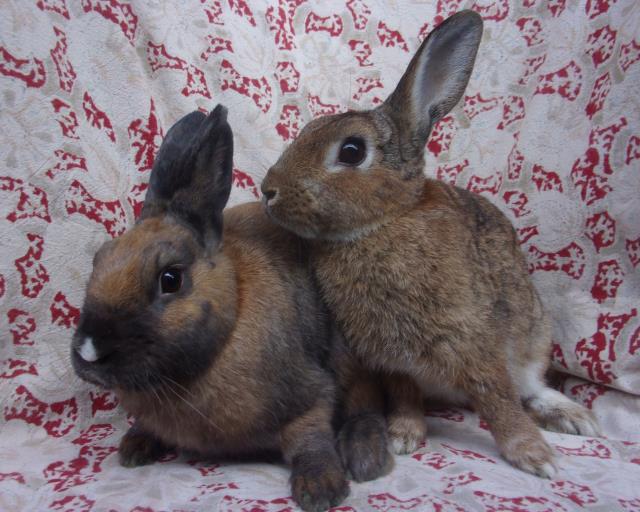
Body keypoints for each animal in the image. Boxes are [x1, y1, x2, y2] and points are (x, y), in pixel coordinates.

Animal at [70, 105, 352, 512]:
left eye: (170, 279)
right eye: (98, 259)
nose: (90, 351)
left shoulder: (312, 394)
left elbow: (310, 437)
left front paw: (321, 488)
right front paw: (134, 447)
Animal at [260, 9, 600, 480]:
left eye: (351, 151)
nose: (268, 190)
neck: (382, 223)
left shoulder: (473, 340)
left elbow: (498, 400)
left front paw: (535, 456)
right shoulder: (393, 362)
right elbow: (406, 396)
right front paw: (403, 436)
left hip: (534, 333)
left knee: (529, 386)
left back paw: (574, 417)